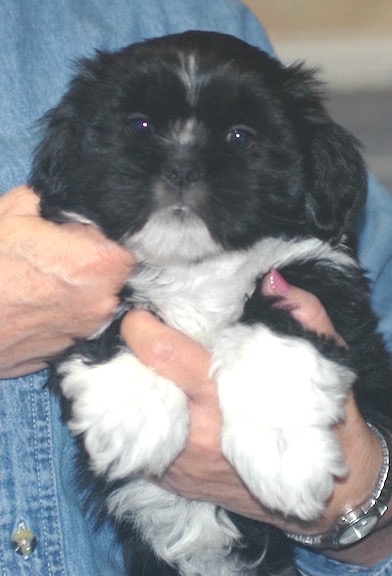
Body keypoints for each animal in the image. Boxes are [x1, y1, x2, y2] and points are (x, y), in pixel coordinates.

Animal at [29, 32, 392, 576]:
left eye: (240, 137)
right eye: (139, 126)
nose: (181, 166)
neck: (197, 265)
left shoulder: (315, 271)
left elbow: (272, 332)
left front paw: (283, 453)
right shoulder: (82, 289)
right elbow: (121, 316)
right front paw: (130, 415)